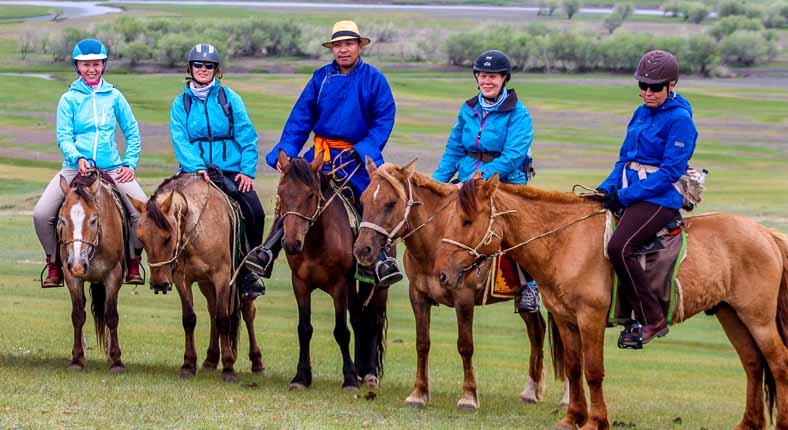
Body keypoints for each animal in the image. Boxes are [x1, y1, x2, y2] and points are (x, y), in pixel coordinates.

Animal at [57, 171, 129, 372]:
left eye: (94, 219)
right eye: (62, 219)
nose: (78, 266)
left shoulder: (113, 275)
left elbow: (111, 315)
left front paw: (116, 361)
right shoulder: (71, 277)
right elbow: (78, 315)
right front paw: (77, 359)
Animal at [129, 173, 264, 382]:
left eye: (168, 237)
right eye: (141, 238)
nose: (158, 283)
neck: (195, 228)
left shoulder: (222, 277)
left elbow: (224, 319)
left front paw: (229, 368)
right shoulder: (182, 279)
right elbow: (189, 319)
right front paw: (188, 365)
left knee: (247, 313)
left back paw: (257, 362)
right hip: (206, 284)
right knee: (212, 310)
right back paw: (210, 359)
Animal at [249, 151, 388, 394]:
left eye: (311, 195)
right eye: (281, 194)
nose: (292, 244)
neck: (316, 242)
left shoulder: (340, 286)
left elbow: (341, 331)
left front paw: (349, 379)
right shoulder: (300, 284)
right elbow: (304, 329)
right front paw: (301, 377)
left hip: (375, 287)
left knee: (372, 320)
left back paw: (369, 374)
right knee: (359, 319)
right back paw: (361, 371)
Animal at [352, 161, 568, 410]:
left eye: (391, 203)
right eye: (364, 200)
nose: (362, 250)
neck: (436, 242)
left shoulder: (463, 298)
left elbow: (465, 345)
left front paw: (468, 396)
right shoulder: (418, 296)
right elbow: (422, 343)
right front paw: (418, 393)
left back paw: (566, 398)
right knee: (537, 330)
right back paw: (531, 391)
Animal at [430, 173, 788, 428]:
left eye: (467, 221)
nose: (442, 275)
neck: (564, 241)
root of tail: (766, 234)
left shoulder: (590, 318)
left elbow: (593, 371)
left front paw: (596, 421)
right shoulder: (566, 320)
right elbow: (574, 368)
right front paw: (572, 418)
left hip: (757, 317)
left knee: (778, 362)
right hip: (731, 314)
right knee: (753, 364)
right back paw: (748, 424)